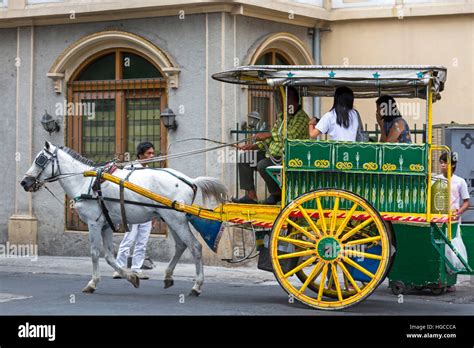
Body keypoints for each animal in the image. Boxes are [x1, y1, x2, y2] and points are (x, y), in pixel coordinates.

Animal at [21, 141, 229, 296]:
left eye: (40, 160)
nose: (24, 182)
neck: (86, 181)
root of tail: (191, 181)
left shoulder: (93, 223)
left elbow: (95, 253)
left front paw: (92, 283)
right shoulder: (105, 224)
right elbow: (109, 256)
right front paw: (130, 277)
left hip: (176, 220)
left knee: (195, 247)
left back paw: (196, 286)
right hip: (171, 219)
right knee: (181, 246)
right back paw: (169, 276)